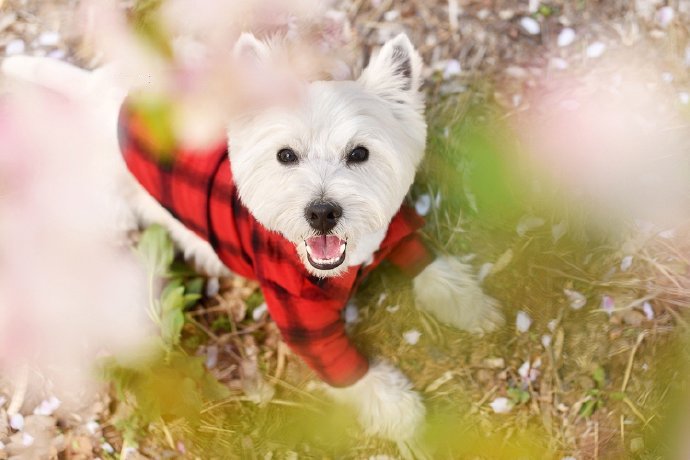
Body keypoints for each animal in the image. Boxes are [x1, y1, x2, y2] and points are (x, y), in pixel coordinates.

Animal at [1, 32, 500, 452]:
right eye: (286, 155)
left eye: (359, 153)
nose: (322, 213)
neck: (348, 260)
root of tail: (94, 91)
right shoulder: (301, 320)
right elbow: (348, 371)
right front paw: (400, 411)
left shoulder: (392, 228)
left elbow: (425, 261)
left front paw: (468, 303)